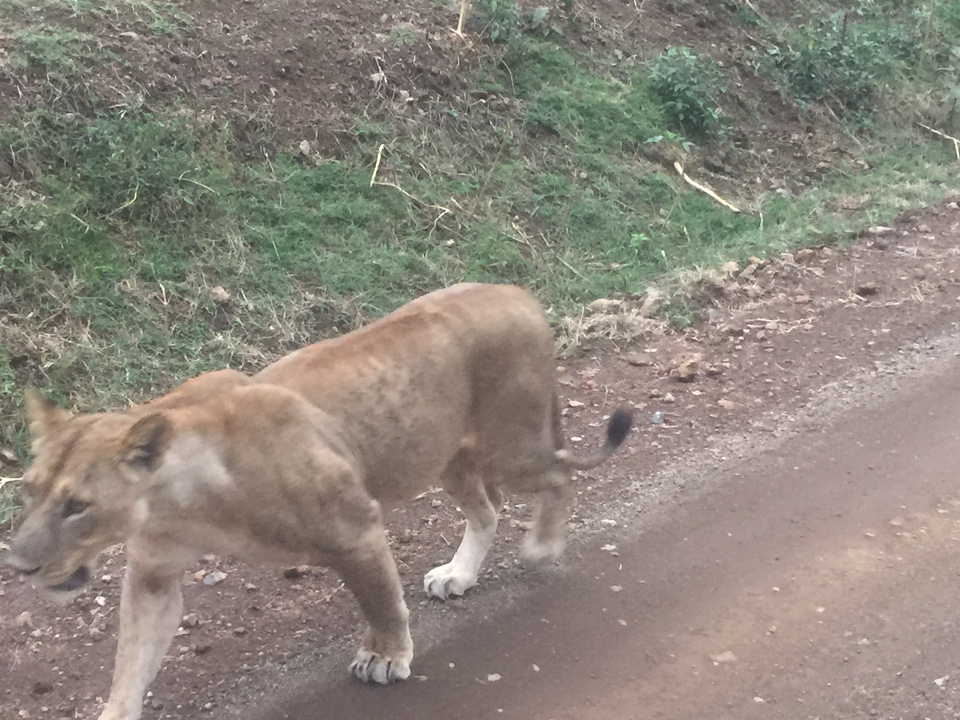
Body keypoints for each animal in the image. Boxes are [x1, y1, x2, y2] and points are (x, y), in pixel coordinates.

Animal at [5, 283, 632, 720]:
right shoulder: (154, 575)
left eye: (77, 505)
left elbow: (380, 601)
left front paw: (385, 657)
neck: (179, 501)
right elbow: (132, 661)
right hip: (444, 455)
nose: (19, 565)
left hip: (511, 444)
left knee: (557, 475)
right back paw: (459, 574)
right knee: (488, 508)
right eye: (30, 491)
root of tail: (519, 294)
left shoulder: (354, 528)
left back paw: (543, 547)